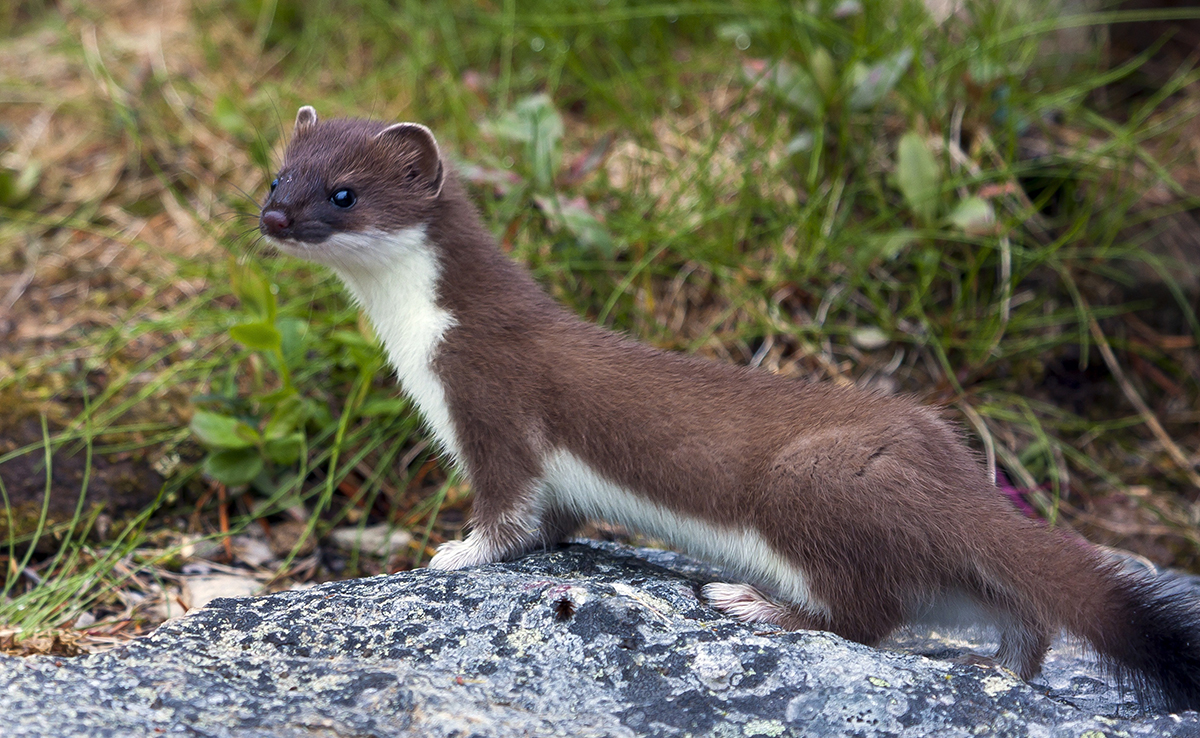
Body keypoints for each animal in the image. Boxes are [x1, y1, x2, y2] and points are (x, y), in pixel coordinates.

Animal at [258, 106, 1200, 715]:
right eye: (277, 174)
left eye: (342, 192)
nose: (272, 216)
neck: (417, 344)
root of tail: (949, 467)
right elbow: (554, 518)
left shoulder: (492, 405)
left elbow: (509, 511)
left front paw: (456, 551)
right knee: (1014, 604)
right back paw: (1003, 668)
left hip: (808, 486)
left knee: (867, 616)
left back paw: (753, 602)